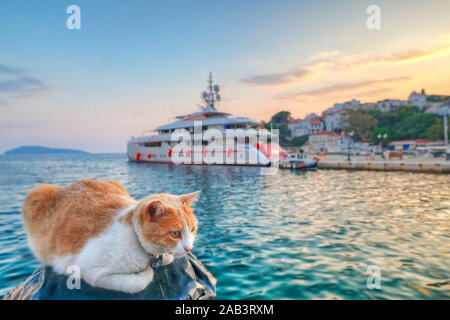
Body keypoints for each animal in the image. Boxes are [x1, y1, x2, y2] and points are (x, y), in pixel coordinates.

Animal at [20, 179, 200, 294]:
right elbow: (139, 282)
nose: (189, 248)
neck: (134, 235)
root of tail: (64, 187)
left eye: (192, 229)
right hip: (36, 194)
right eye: (175, 234)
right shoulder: (91, 272)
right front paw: (146, 272)